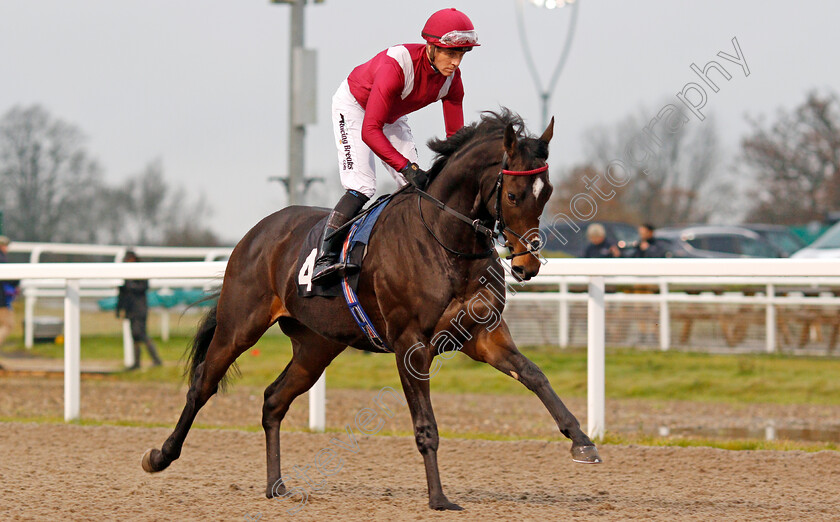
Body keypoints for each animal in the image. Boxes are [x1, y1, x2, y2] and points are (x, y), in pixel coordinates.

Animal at [146, 108, 604, 508]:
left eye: (547, 193)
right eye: (512, 194)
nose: (528, 265)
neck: (446, 241)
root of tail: (257, 233)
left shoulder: (484, 335)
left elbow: (536, 376)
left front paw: (583, 441)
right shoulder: (410, 344)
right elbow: (426, 425)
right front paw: (439, 498)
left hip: (316, 346)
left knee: (274, 399)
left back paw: (276, 485)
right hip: (240, 324)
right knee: (202, 384)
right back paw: (161, 456)